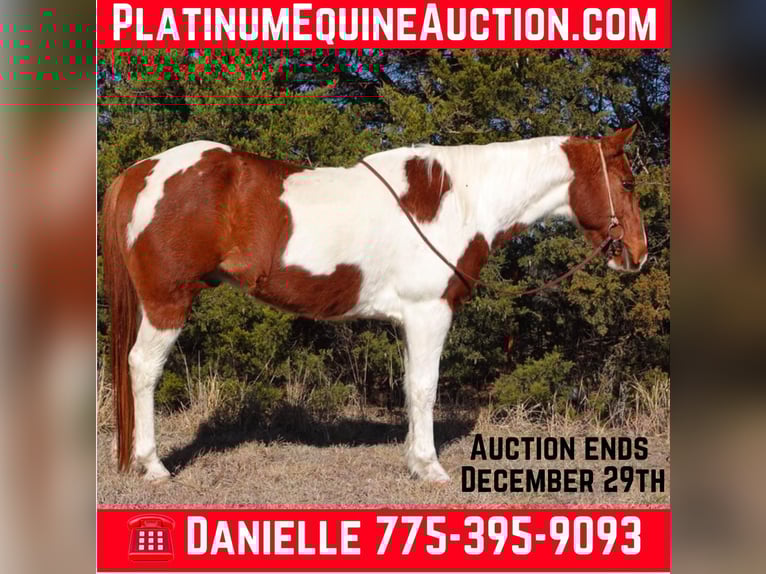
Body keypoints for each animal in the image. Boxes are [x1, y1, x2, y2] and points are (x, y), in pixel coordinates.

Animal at [102, 126, 647, 482]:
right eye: (627, 183)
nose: (638, 254)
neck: (461, 198)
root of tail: (140, 171)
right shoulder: (431, 312)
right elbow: (426, 388)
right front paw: (430, 468)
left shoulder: (410, 319)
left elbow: (409, 387)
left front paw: (413, 459)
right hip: (167, 302)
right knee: (143, 367)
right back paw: (153, 466)